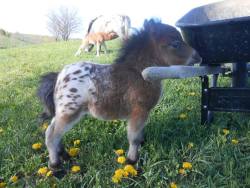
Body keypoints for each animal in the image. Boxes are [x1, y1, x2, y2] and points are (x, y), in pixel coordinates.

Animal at [37, 19, 201, 170]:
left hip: (64, 112)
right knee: (51, 134)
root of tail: (58, 77)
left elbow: (139, 133)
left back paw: (64, 155)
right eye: (175, 43)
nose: (198, 57)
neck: (139, 73)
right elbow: (134, 138)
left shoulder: (142, 113)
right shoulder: (139, 111)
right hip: (69, 111)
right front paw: (132, 161)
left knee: (55, 132)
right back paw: (55, 166)